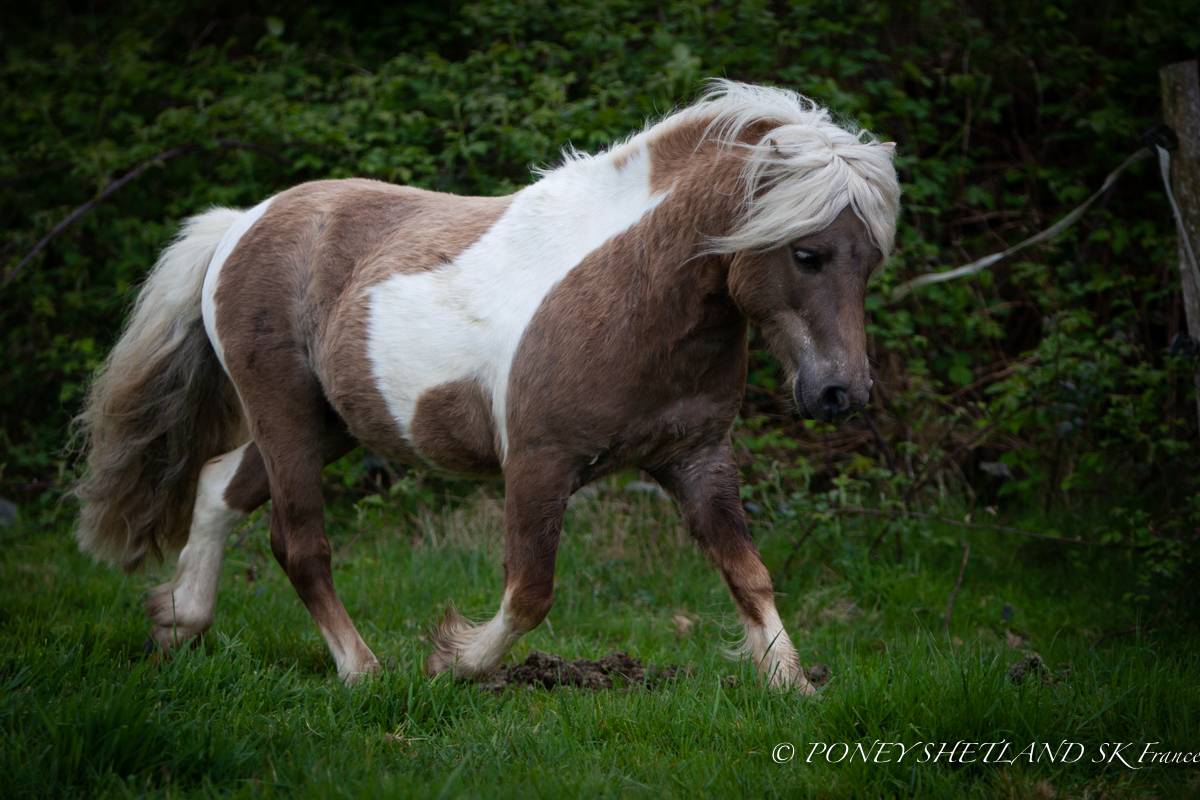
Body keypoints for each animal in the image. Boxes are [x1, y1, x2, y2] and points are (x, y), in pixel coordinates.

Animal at [73, 80, 900, 691]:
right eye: (805, 253)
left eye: (870, 258)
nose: (840, 395)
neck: (633, 288)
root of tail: (243, 221)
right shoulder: (539, 462)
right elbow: (530, 591)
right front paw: (450, 660)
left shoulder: (696, 459)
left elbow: (749, 573)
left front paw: (792, 687)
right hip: (282, 413)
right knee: (297, 541)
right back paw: (363, 671)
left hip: (326, 422)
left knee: (216, 488)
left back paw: (179, 623)